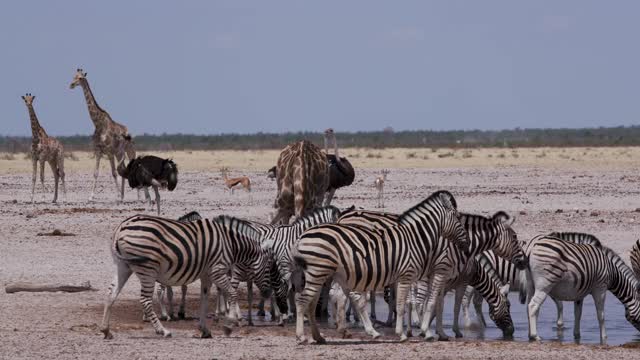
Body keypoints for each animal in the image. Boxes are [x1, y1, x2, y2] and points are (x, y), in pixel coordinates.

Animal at [69, 69, 134, 201]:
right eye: (74, 76)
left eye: (80, 78)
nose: (71, 85)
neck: (98, 123)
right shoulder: (98, 151)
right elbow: (95, 173)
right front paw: (91, 196)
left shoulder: (109, 152)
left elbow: (114, 173)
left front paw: (117, 194)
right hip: (119, 153)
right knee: (123, 170)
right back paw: (123, 196)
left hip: (123, 151)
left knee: (125, 168)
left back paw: (130, 195)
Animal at [100, 212, 272, 338]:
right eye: (270, 267)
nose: (268, 293)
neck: (231, 243)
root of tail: (121, 226)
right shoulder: (217, 270)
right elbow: (232, 293)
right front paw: (229, 325)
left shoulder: (207, 274)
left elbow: (204, 298)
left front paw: (204, 329)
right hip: (148, 269)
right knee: (145, 300)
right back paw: (163, 331)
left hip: (123, 266)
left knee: (111, 293)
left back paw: (106, 330)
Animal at [292, 188, 468, 344]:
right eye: (457, 217)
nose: (466, 242)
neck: (415, 239)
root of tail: (301, 236)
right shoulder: (407, 275)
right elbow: (402, 305)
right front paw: (402, 334)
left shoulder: (406, 276)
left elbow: (405, 303)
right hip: (319, 272)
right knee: (302, 300)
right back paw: (302, 337)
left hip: (321, 273)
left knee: (313, 302)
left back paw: (320, 337)